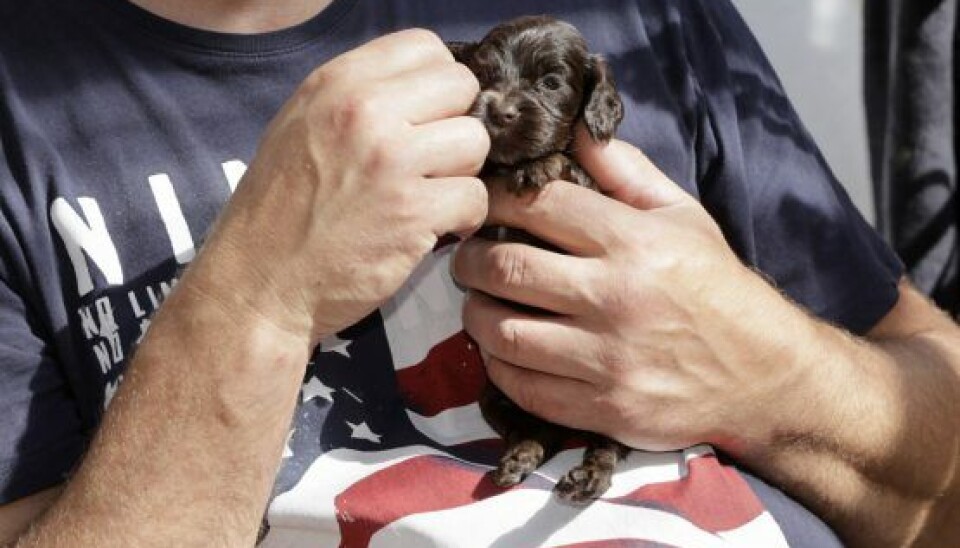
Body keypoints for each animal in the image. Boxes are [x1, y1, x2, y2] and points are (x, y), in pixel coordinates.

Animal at [452, 15, 632, 504]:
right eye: (484, 75)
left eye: (551, 83)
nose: (498, 111)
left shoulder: (595, 194)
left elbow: (572, 168)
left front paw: (541, 164)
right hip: (496, 396)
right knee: (538, 433)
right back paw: (520, 459)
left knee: (607, 444)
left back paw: (588, 476)